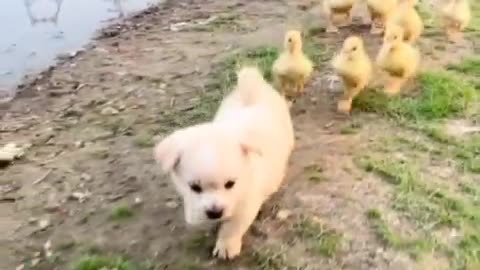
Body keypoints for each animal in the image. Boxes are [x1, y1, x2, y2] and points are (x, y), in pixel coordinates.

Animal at [156, 66, 294, 260]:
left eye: (230, 184)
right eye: (195, 187)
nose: (215, 212)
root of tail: (254, 88)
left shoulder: (246, 203)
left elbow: (232, 227)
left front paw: (226, 245)